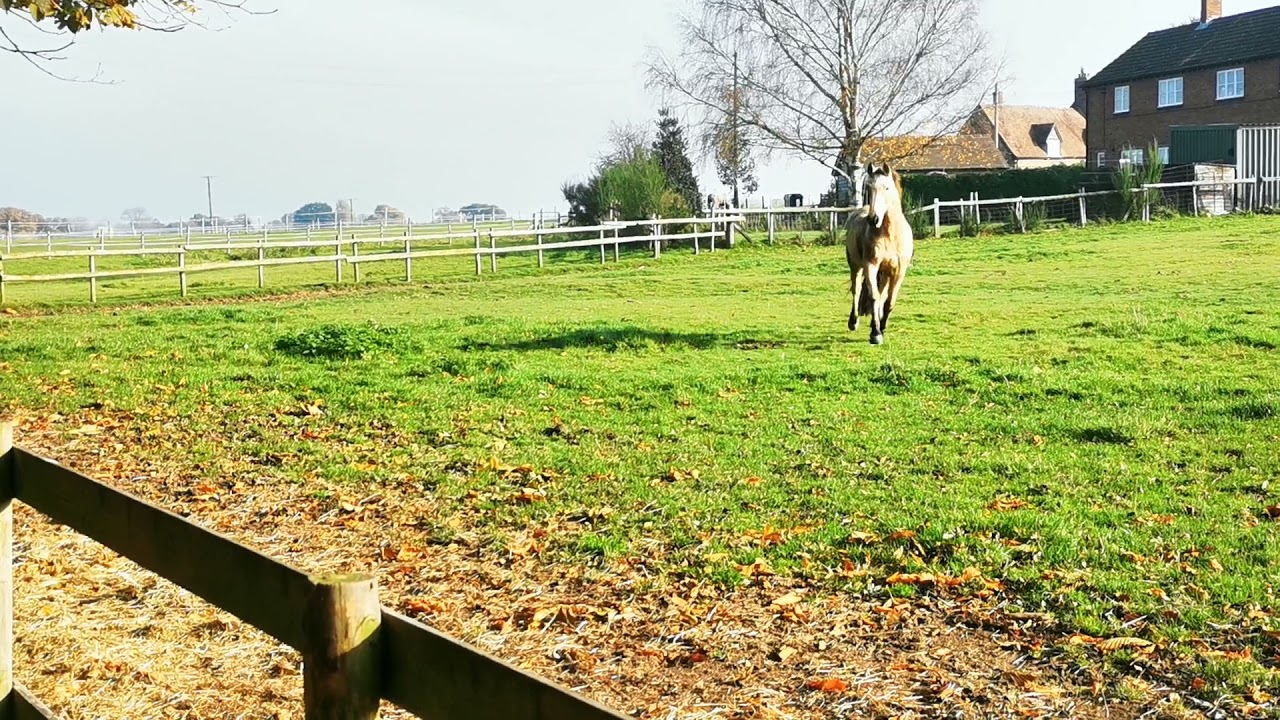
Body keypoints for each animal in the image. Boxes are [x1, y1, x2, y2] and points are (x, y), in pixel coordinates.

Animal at [844, 162, 914, 345]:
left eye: (886, 187)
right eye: (869, 187)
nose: (873, 219)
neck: (890, 234)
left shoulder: (899, 271)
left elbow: (889, 301)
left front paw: (881, 327)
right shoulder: (871, 266)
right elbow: (874, 297)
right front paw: (875, 334)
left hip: (885, 273)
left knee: (881, 294)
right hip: (856, 267)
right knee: (857, 290)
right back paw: (854, 321)